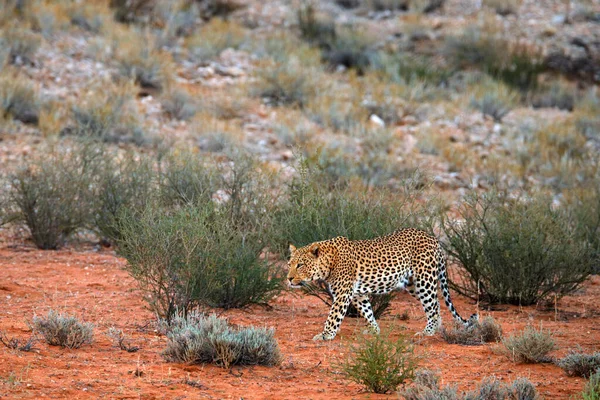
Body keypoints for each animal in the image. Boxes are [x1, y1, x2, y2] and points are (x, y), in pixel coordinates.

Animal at [288, 228, 478, 340]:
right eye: (289, 264)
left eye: (300, 265)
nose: (289, 279)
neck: (328, 262)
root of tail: (433, 238)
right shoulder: (357, 294)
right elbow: (367, 311)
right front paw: (374, 330)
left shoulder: (343, 294)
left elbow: (333, 316)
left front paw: (325, 335)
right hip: (413, 284)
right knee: (436, 304)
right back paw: (436, 327)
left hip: (424, 280)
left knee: (432, 305)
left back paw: (428, 331)